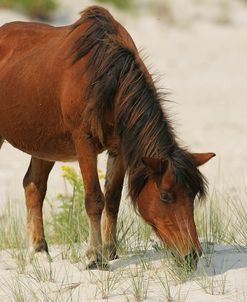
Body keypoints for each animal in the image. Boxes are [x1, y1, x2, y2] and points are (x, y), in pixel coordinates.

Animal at [0, 5, 214, 268]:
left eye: (192, 195)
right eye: (165, 196)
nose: (192, 254)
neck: (107, 76)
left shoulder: (119, 148)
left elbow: (112, 199)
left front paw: (110, 249)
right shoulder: (84, 141)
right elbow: (94, 199)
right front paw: (95, 256)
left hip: (45, 145)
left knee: (34, 186)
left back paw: (39, 249)